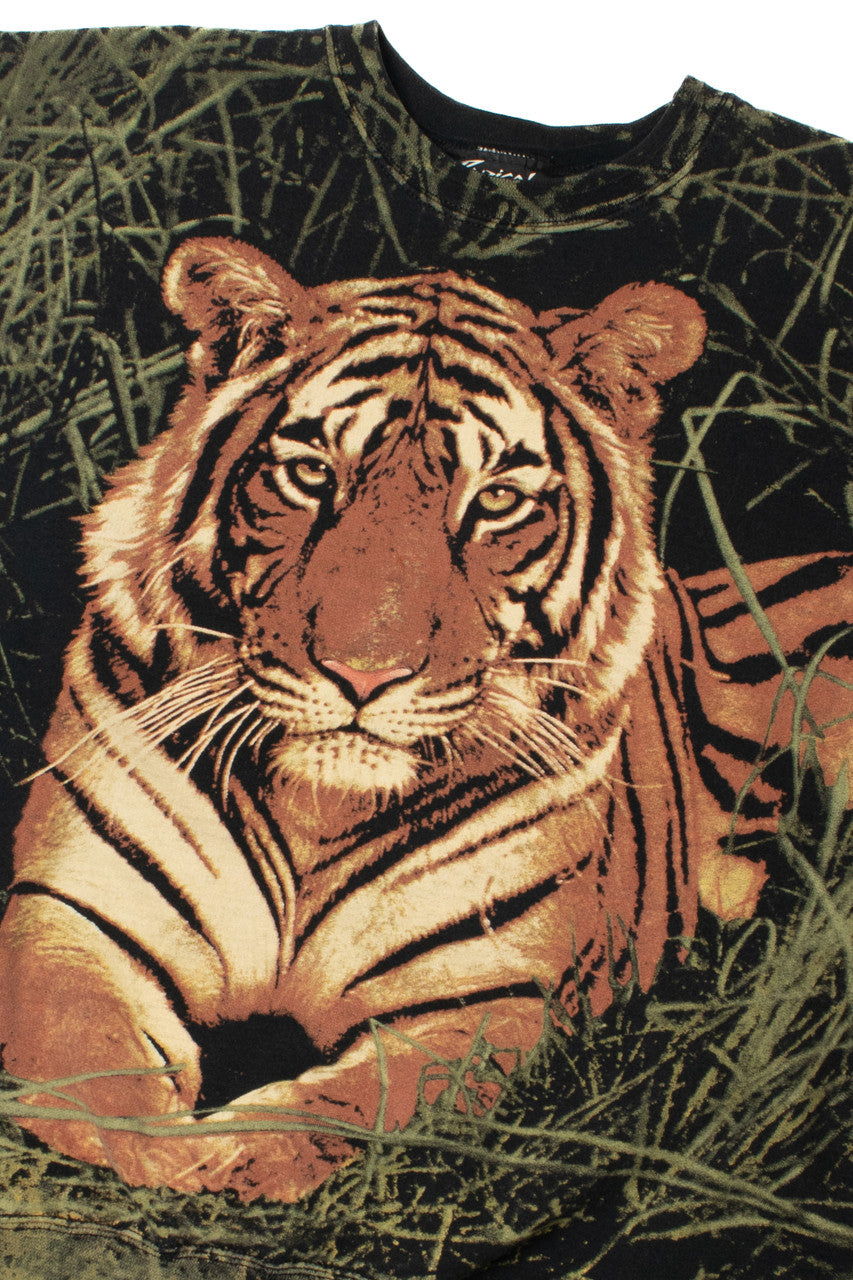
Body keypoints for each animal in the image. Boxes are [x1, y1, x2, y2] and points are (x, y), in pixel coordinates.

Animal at [0, 237, 850, 1204]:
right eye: (310, 475)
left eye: (496, 502)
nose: (364, 672)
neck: (316, 810)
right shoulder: (76, 915)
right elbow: (83, 1052)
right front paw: (154, 1148)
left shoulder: (478, 995)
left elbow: (358, 1102)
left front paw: (236, 1154)